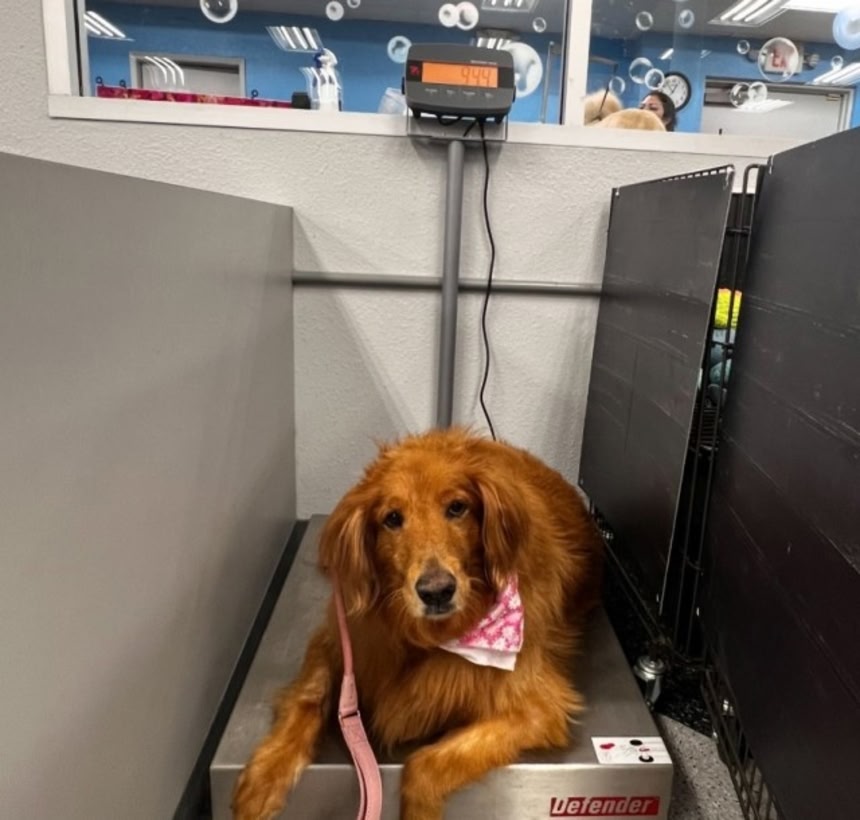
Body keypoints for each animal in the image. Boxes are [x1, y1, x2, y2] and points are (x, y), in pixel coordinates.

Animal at [233, 428, 603, 820]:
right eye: (392, 518)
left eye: (457, 508)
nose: (437, 591)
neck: (427, 637)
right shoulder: (341, 637)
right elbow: (310, 694)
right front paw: (264, 775)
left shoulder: (539, 707)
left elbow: (425, 763)